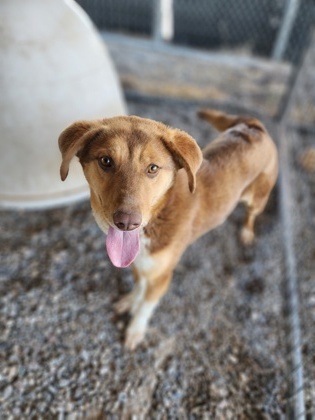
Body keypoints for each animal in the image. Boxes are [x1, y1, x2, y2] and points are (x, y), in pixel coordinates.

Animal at [59, 108, 278, 348]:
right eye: (106, 161)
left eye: (153, 168)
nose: (127, 222)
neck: (157, 216)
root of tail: (254, 125)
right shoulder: (139, 263)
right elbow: (139, 285)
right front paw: (131, 301)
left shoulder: (162, 276)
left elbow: (147, 305)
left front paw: (136, 328)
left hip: (257, 199)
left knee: (251, 215)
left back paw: (247, 232)